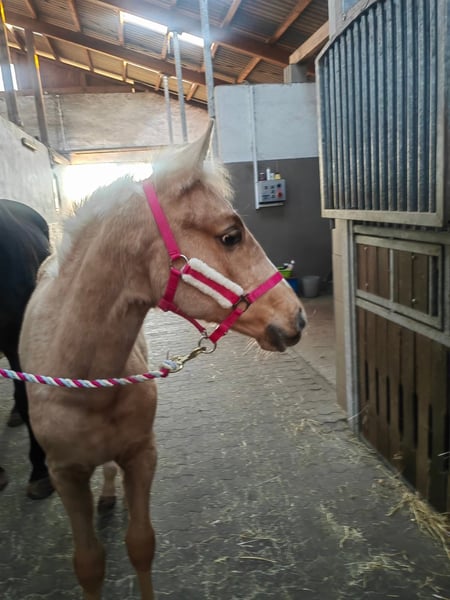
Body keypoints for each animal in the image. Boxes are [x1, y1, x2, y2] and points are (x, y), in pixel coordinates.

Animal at [19, 122, 306, 600]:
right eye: (230, 235)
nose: (298, 317)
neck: (82, 382)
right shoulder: (65, 475)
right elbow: (89, 563)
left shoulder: (142, 455)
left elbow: (141, 545)